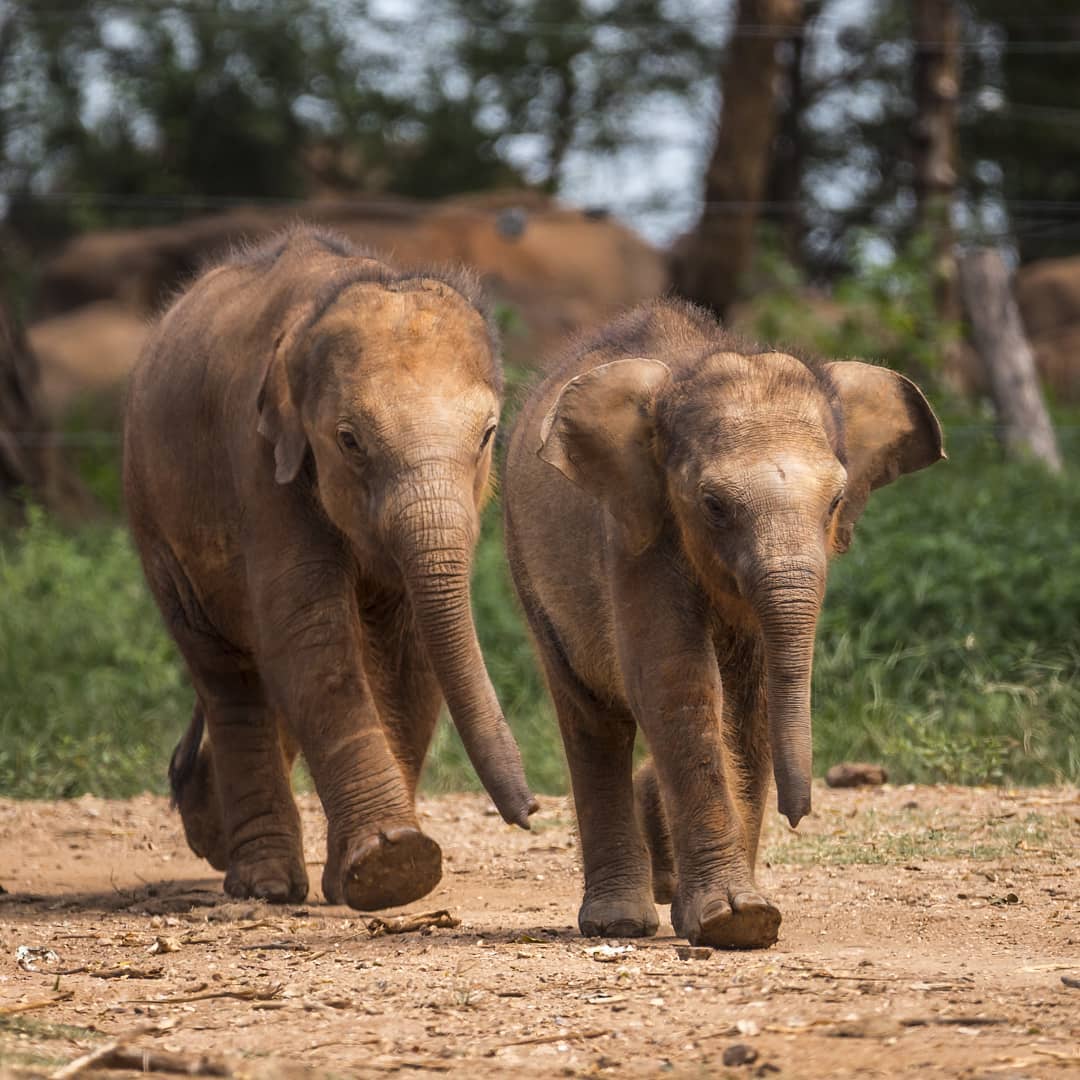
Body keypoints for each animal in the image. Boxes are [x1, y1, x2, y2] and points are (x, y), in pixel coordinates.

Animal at [124, 225, 537, 911]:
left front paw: (365, 879)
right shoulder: (261, 465)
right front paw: (394, 864)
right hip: (153, 521)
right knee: (227, 674)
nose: (530, 812)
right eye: (349, 441)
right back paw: (262, 882)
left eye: (487, 435)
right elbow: (309, 632)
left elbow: (407, 649)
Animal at [503, 300, 944, 948]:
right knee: (591, 714)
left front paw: (741, 918)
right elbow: (676, 683)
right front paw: (735, 920)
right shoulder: (636, 530)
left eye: (835, 503)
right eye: (713, 506)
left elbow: (749, 703)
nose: (798, 813)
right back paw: (619, 921)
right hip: (528, 571)